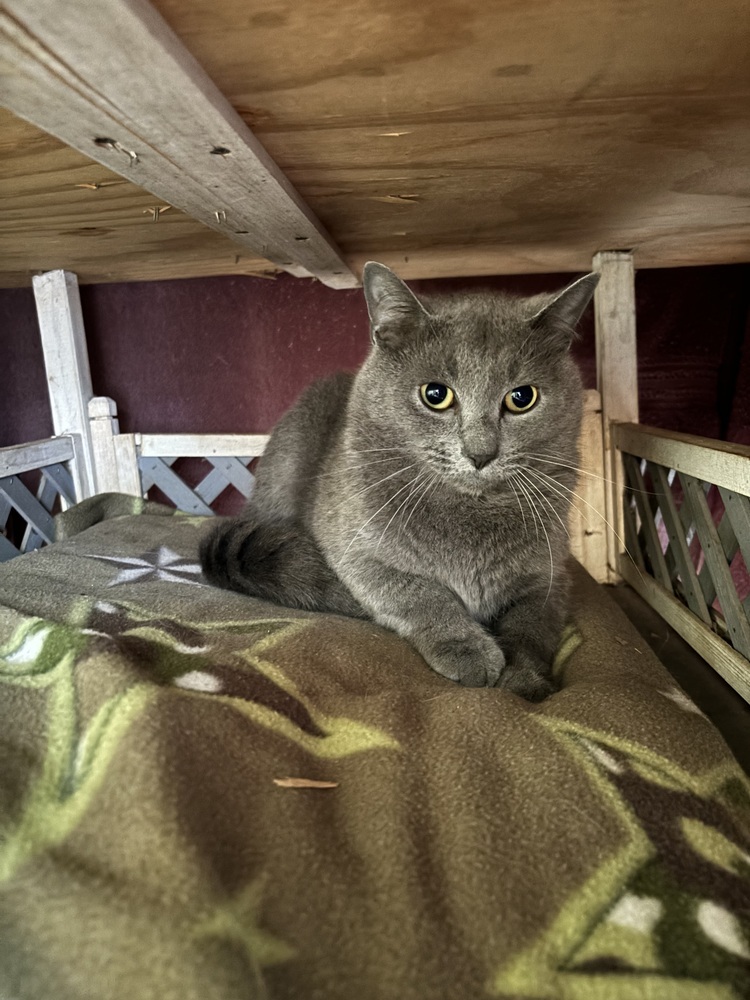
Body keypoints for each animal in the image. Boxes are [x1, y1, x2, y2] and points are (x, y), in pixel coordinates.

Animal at [200, 262, 600, 700]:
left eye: (522, 398)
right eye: (436, 395)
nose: (480, 453)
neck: (470, 512)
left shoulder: (550, 577)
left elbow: (533, 627)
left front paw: (525, 682)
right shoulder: (356, 553)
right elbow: (418, 593)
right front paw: (469, 650)